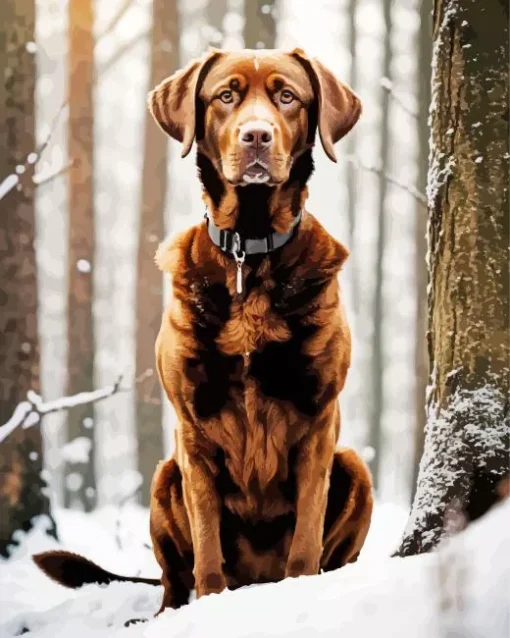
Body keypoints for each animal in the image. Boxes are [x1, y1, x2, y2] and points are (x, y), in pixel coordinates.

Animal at [33, 48, 372, 616]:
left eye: (287, 96)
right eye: (226, 95)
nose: (256, 135)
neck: (250, 251)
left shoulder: (319, 419)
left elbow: (306, 533)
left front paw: (299, 585)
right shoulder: (192, 430)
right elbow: (206, 544)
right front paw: (211, 602)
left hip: (354, 466)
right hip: (163, 476)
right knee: (172, 577)